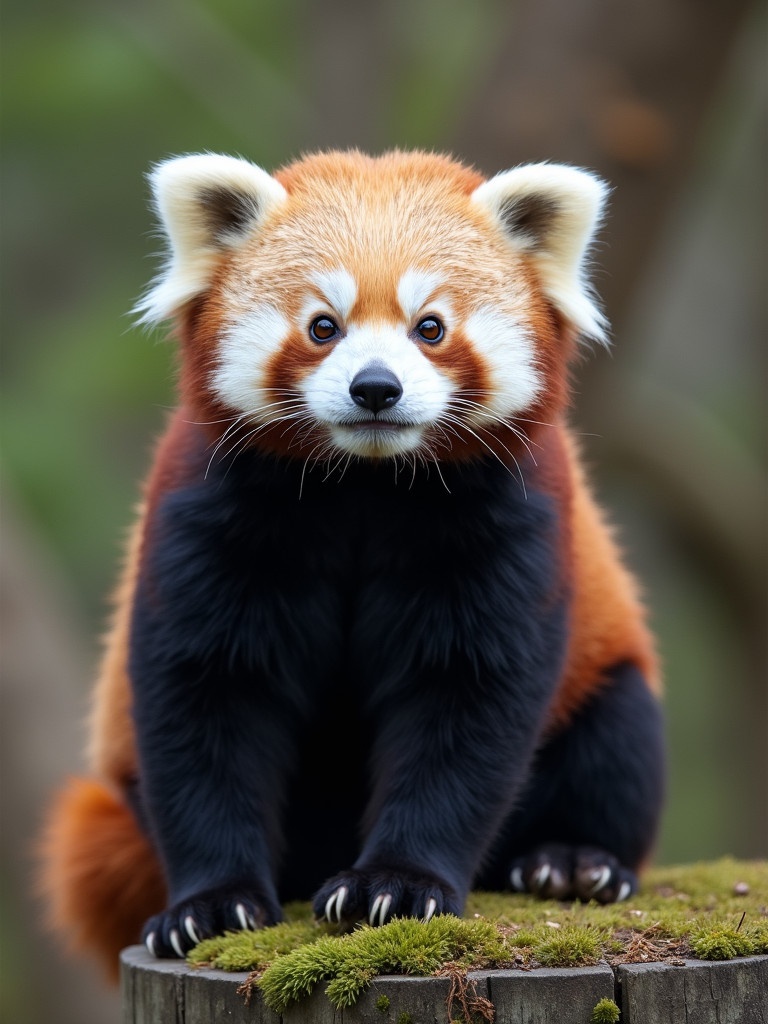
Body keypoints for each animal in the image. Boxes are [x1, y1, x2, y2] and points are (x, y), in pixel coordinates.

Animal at [39, 149, 663, 974]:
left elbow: (466, 704)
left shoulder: (515, 518)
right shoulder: (205, 511)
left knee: (618, 739)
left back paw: (572, 863)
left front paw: (397, 884)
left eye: (430, 327)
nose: (375, 387)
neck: (365, 484)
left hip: (609, 678)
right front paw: (211, 904)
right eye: (322, 326)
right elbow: (205, 700)